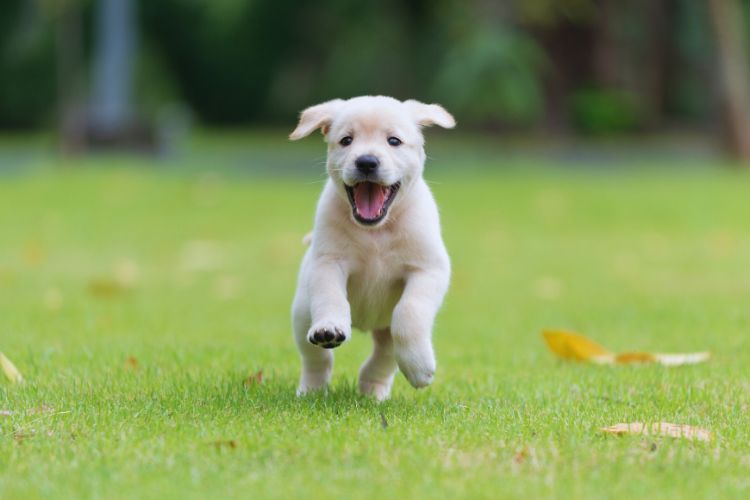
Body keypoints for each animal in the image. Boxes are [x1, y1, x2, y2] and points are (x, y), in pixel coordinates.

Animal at [288, 94, 456, 400]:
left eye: (394, 141)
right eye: (346, 140)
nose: (367, 162)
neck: (375, 232)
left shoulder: (428, 269)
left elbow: (409, 313)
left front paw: (420, 368)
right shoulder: (328, 262)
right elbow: (331, 297)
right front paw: (330, 326)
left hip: (385, 330)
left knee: (385, 355)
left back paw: (373, 389)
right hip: (302, 313)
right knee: (316, 358)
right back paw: (312, 389)